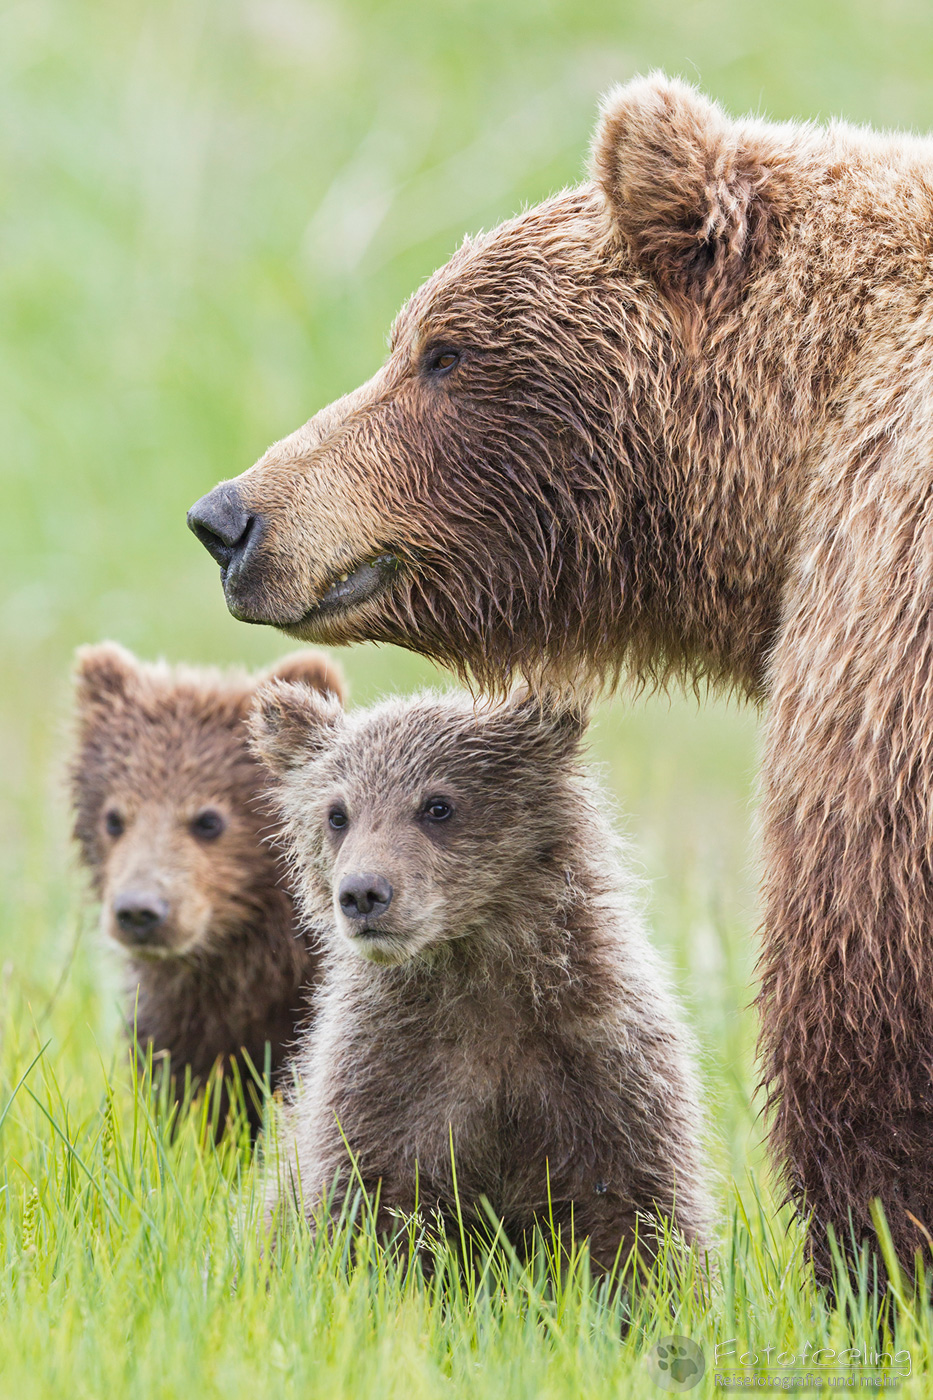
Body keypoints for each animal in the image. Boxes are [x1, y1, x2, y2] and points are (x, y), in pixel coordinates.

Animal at [248, 680, 712, 1271]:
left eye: (437, 805)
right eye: (337, 814)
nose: (362, 893)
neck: (473, 970)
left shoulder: (604, 1067)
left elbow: (636, 1221)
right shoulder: (388, 1079)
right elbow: (369, 1211)